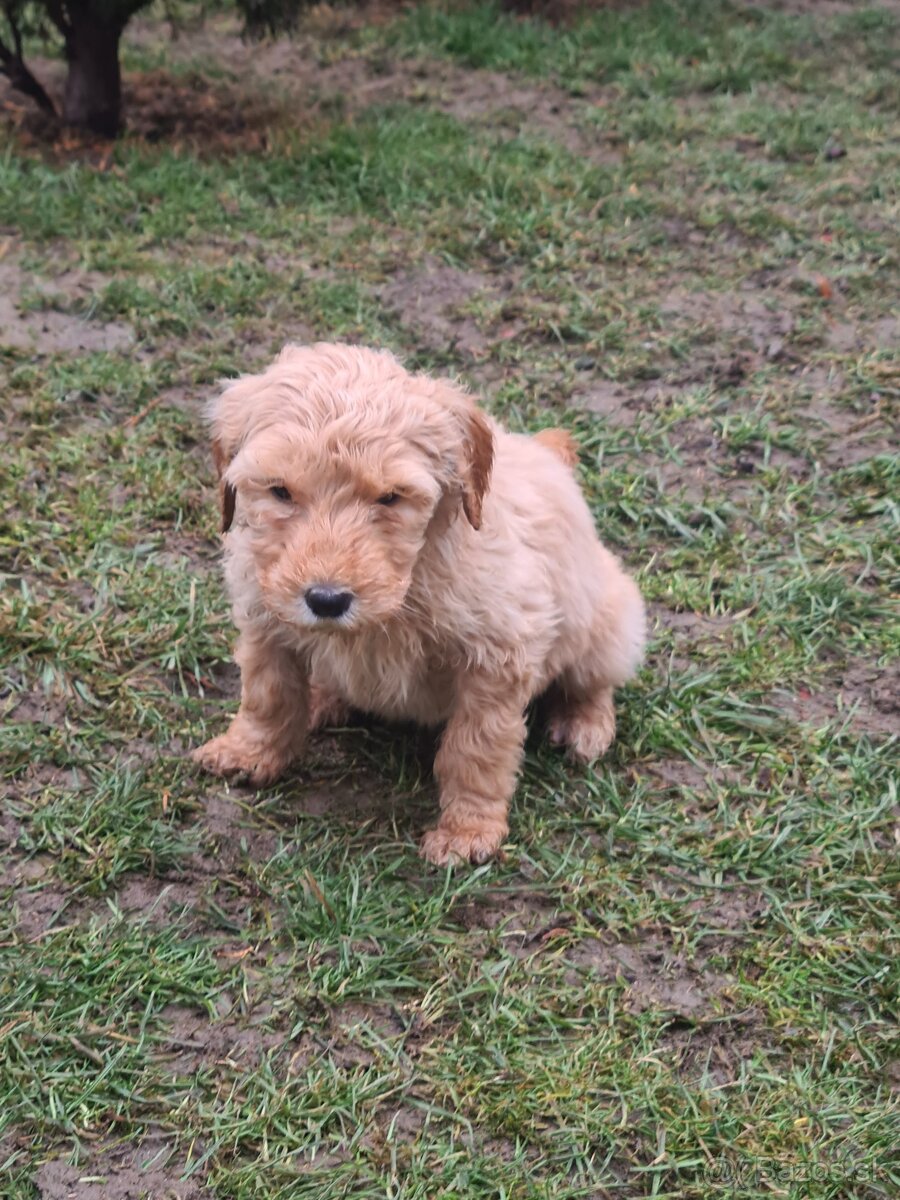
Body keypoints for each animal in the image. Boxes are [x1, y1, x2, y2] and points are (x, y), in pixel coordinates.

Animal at [194, 345, 648, 864]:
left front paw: (468, 831)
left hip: (605, 617)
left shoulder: (498, 655)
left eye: (390, 498)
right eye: (280, 491)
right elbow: (266, 696)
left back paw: (583, 722)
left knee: (594, 676)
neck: (407, 587)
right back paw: (323, 697)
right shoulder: (263, 617)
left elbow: (475, 748)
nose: (327, 600)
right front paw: (248, 752)